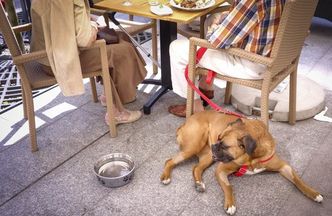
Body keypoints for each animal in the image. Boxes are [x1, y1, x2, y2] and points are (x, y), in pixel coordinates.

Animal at [160, 110, 322, 215]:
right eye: (218, 137)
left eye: (224, 145)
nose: (214, 145)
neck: (252, 158)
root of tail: (186, 121)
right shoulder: (221, 170)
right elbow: (229, 186)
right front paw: (230, 204)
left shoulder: (284, 166)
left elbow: (298, 180)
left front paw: (313, 193)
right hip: (194, 147)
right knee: (169, 160)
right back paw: (166, 177)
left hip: (208, 156)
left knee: (196, 168)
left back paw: (199, 183)